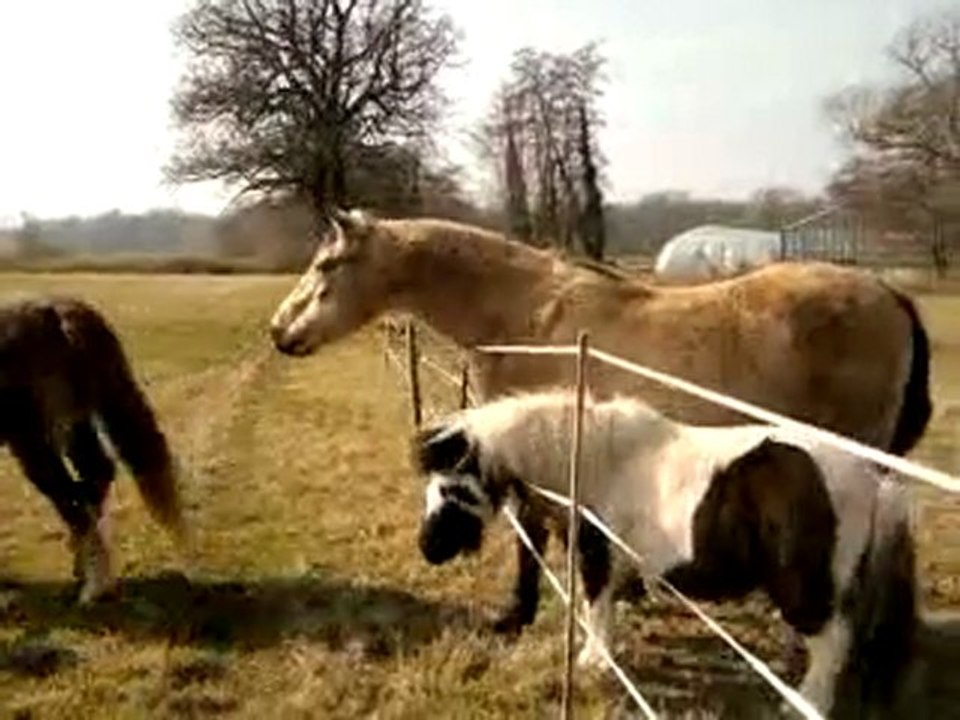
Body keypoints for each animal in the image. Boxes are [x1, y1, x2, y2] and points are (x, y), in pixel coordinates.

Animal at [0, 296, 185, 603]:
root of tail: (56, 314)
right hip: (76, 419)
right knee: (94, 474)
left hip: (33, 437)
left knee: (70, 493)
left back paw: (93, 586)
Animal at [268, 207, 932, 639]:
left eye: (326, 266)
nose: (279, 332)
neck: (525, 317)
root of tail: (888, 295)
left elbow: (535, 538)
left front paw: (518, 615)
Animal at [412, 390, 920, 718]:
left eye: (453, 487)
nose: (428, 548)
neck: (594, 459)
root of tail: (874, 482)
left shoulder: (596, 555)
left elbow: (596, 608)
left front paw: (593, 662)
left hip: (807, 590)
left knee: (832, 644)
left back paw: (802, 702)